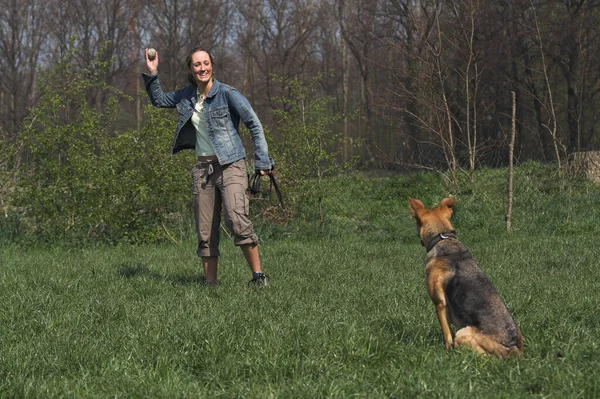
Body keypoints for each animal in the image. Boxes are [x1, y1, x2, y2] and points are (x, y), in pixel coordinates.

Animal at [410, 197, 524, 356]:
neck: (444, 238)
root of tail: (514, 348)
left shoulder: (440, 304)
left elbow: (447, 335)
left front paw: (447, 352)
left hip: (463, 333)